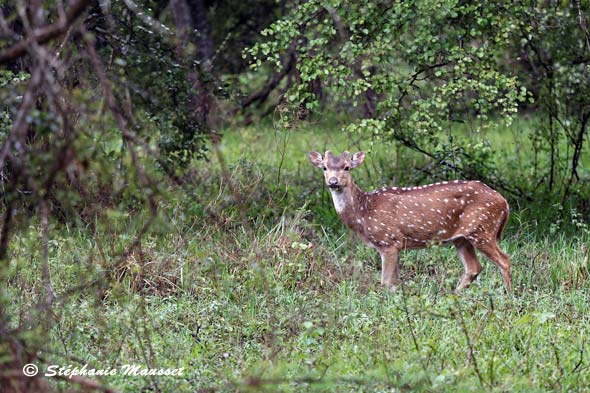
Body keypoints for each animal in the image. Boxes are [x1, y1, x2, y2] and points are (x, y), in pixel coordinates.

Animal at [310, 150, 512, 290]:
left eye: (347, 167)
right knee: (474, 267)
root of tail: (504, 202)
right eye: (324, 167)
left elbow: (385, 282)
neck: (364, 212)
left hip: (482, 229)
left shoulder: (389, 241)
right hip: (462, 238)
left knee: (505, 260)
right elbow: (394, 282)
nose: (333, 182)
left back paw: (509, 297)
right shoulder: (395, 246)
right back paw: (455, 294)